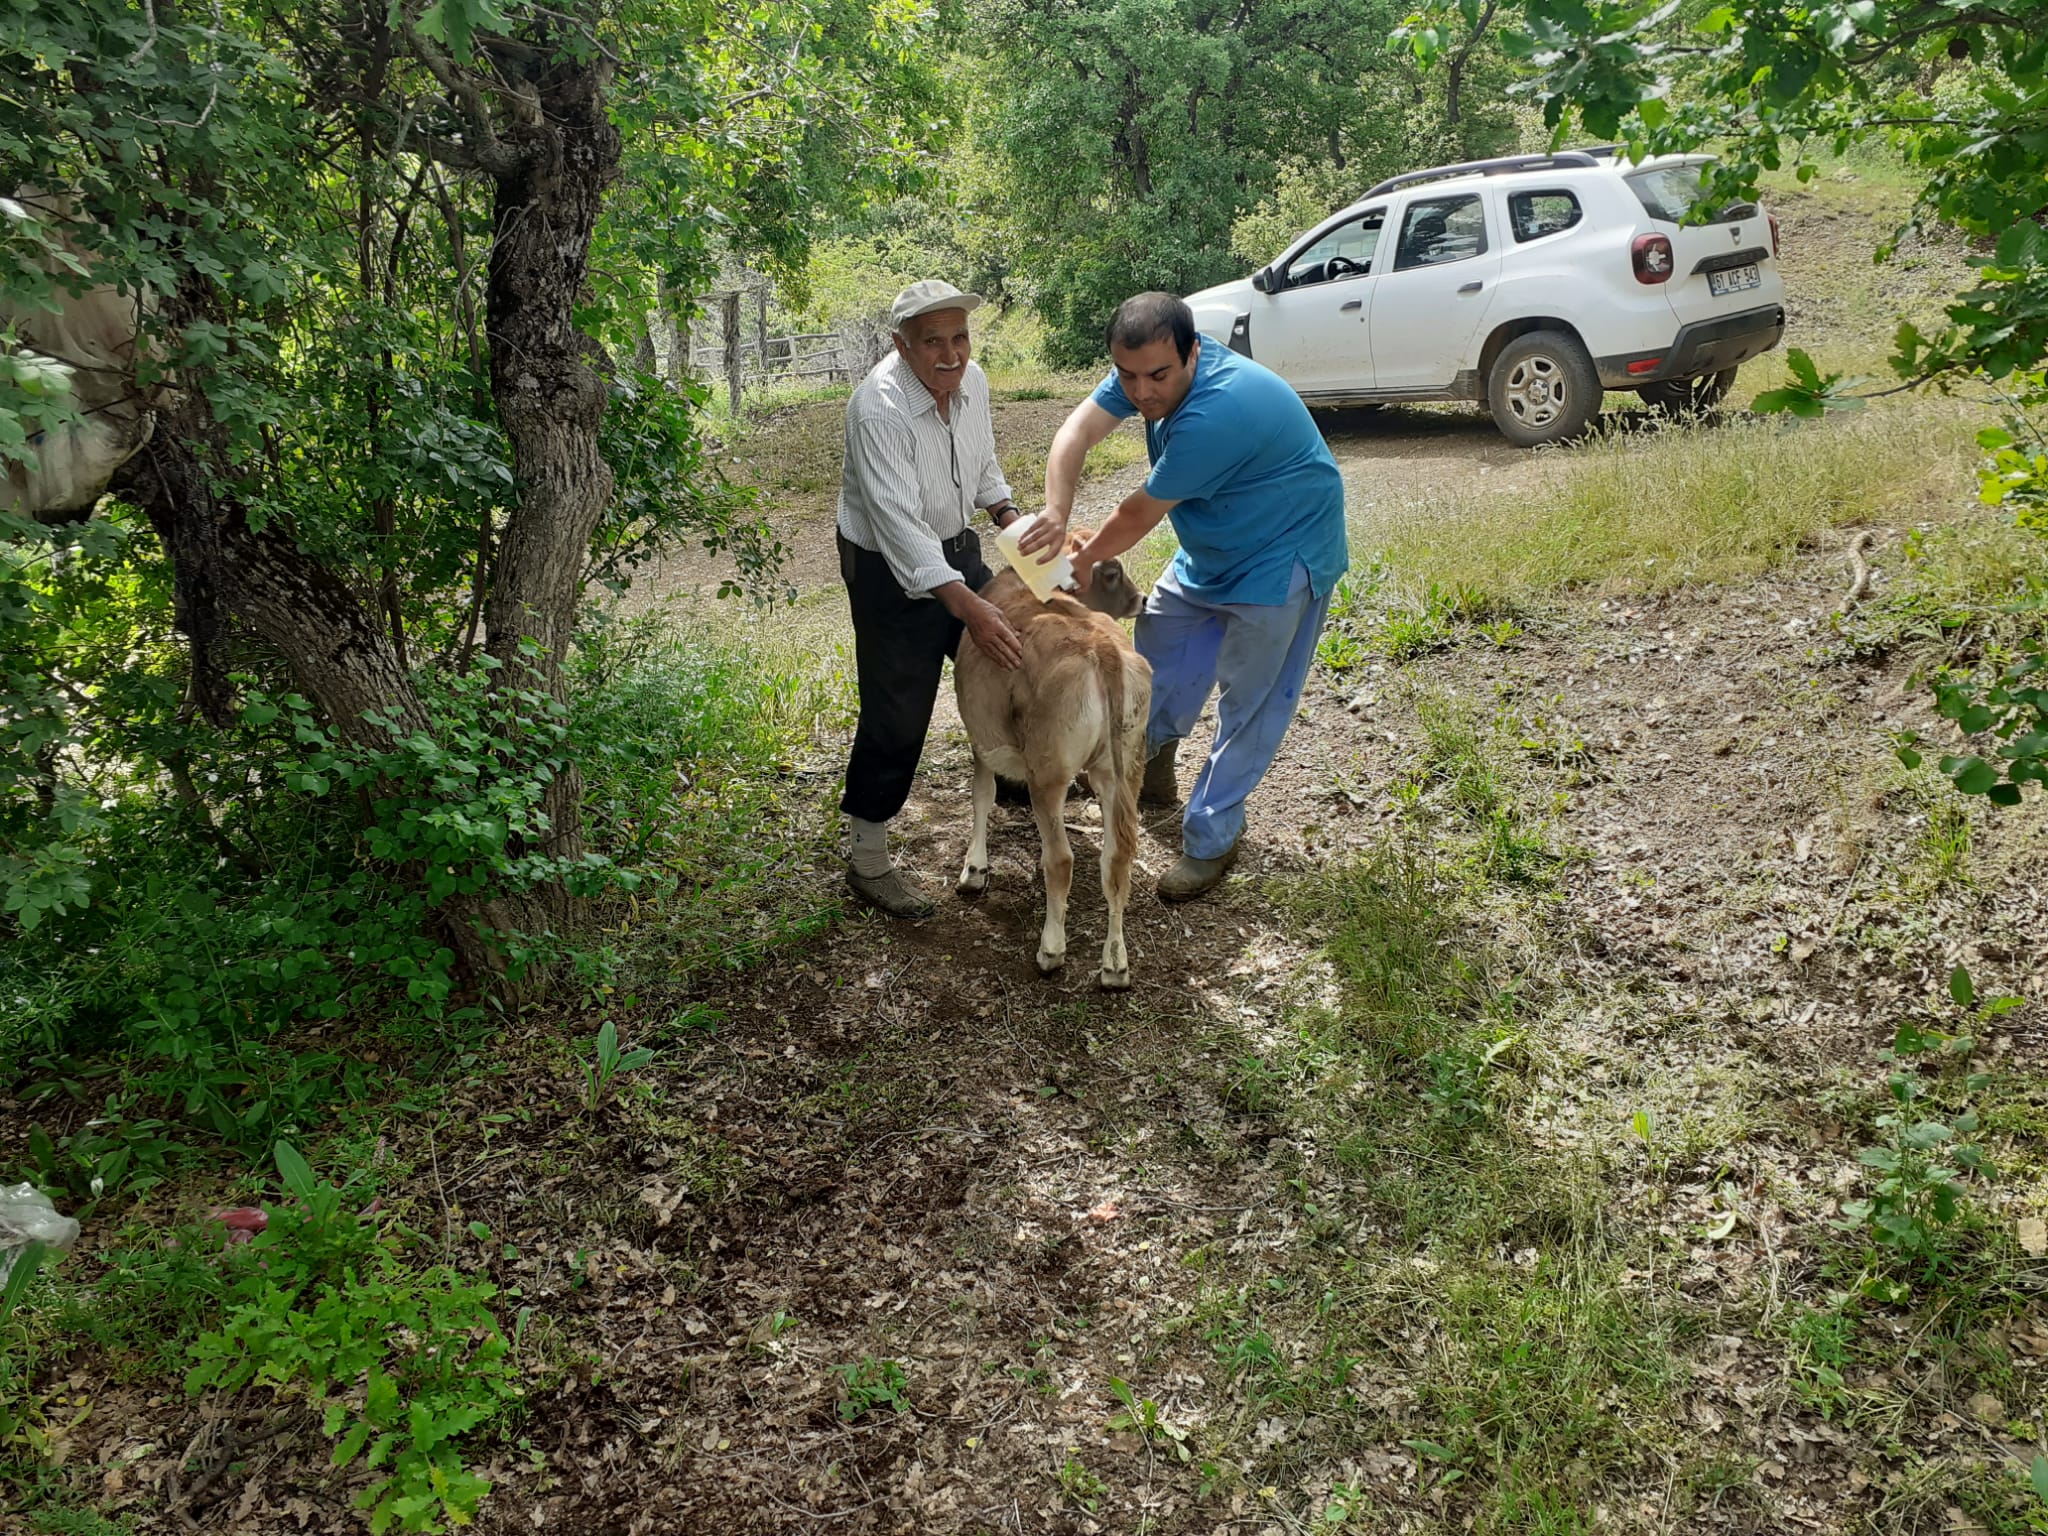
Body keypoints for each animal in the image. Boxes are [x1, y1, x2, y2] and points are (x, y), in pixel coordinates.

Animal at [954, 548, 1155, 991]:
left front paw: (974, 869)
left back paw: (1051, 950)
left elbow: (982, 797)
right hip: (1125, 766)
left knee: (1061, 859)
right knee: (1118, 858)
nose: (1143, 599)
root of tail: (1101, 646)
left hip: (1048, 772)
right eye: (1112, 573)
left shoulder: (981, 738)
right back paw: (1115, 965)